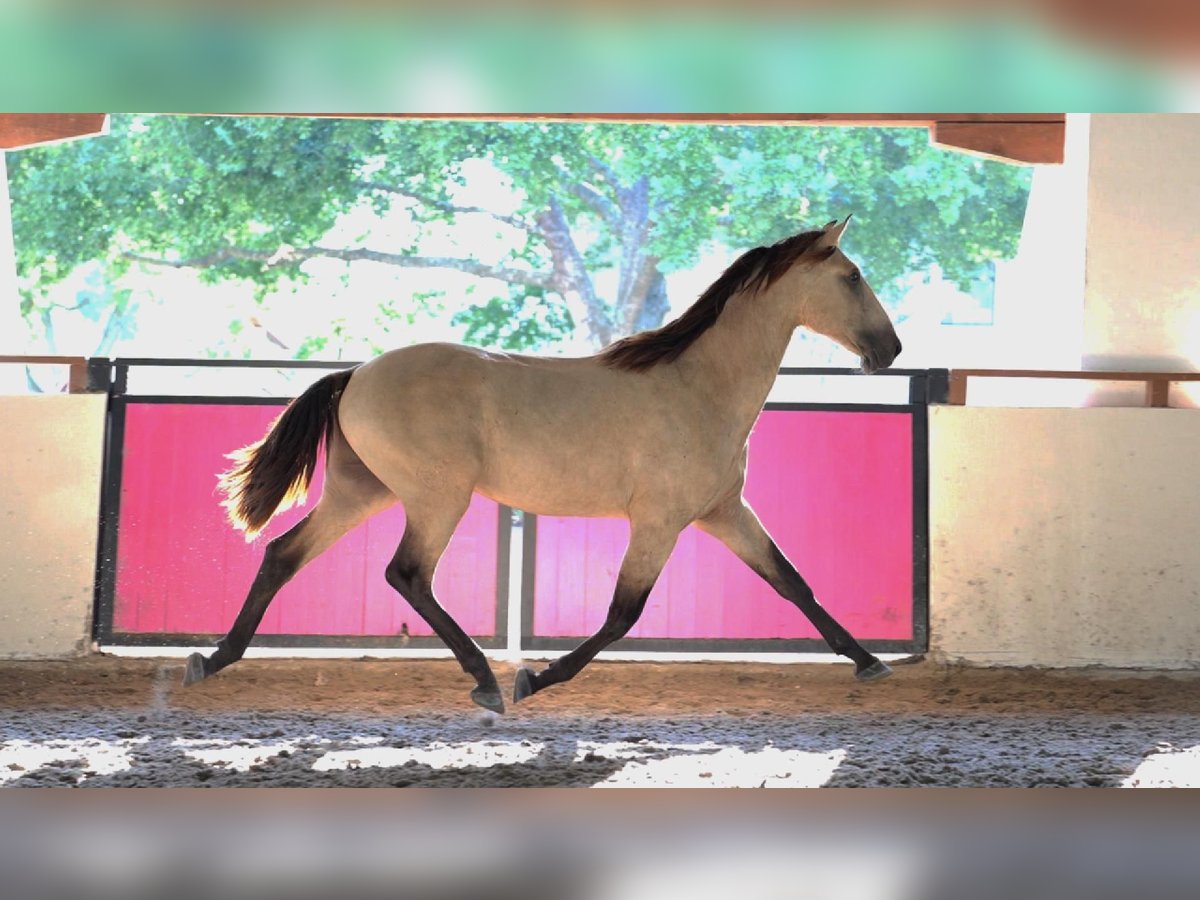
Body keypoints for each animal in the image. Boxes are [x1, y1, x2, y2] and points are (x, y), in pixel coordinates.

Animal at [182, 216, 903, 713]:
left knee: (284, 554)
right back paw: (485, 681)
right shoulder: (660, 522)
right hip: (436, 498)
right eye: (852, 276)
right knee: (406, 574)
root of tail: (356, 374)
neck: (699, 386)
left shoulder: (725, 512)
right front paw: (536, 676)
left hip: (363, 493)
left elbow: (794, 583)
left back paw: (211, 660)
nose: (891, 350)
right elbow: (623, 615)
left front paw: (869, 662)